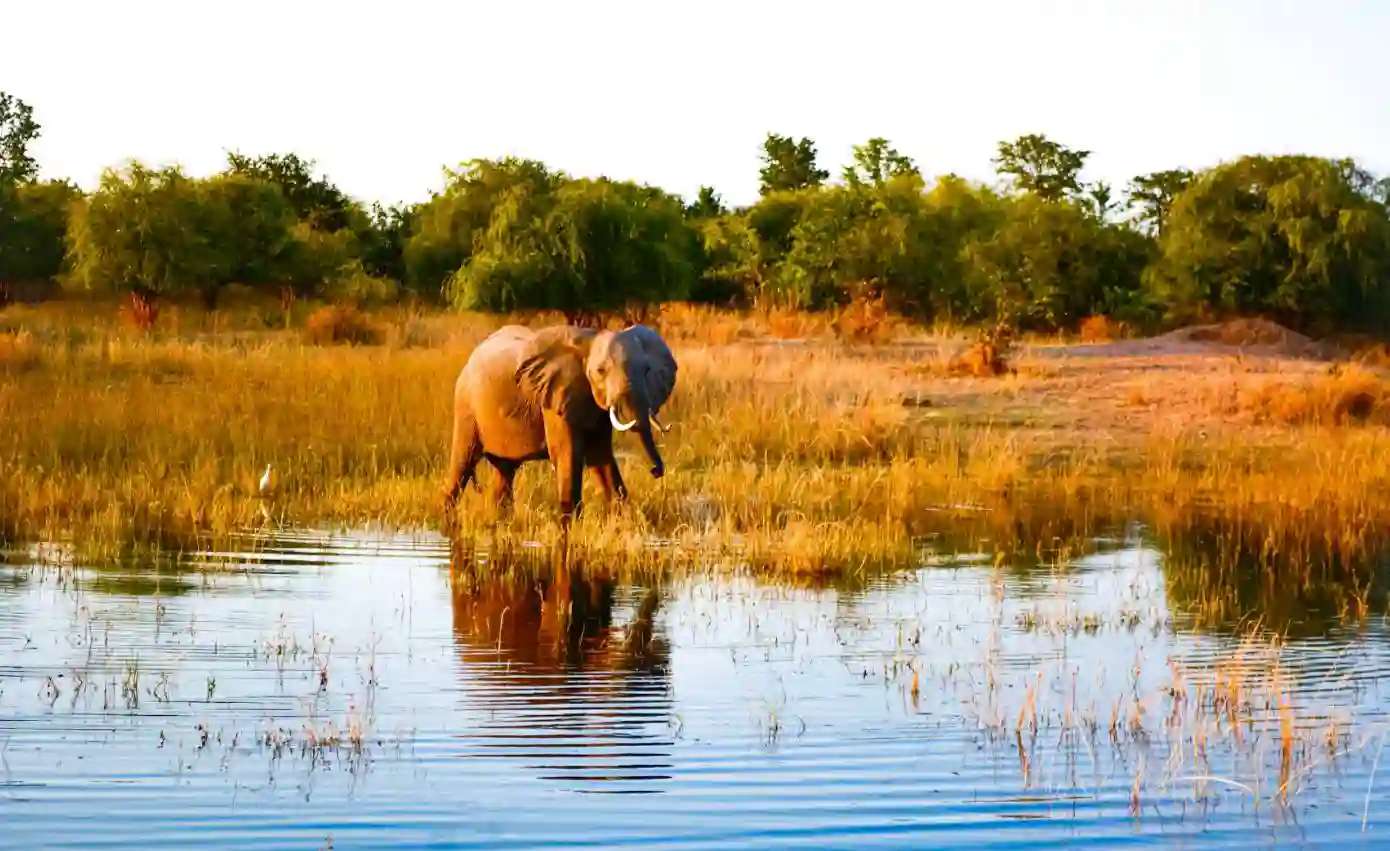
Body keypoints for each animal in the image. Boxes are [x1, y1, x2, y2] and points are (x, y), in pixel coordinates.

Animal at [444, 322, 678, 522]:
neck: (589, 340)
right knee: (462, 465)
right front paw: (571, 527)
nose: (655, 471)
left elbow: (600, 456)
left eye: (647, 371)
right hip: (466, 406)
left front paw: (623, 521)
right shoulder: (555, 396)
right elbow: (568, 454)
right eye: (601, 371)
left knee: (504, 473)